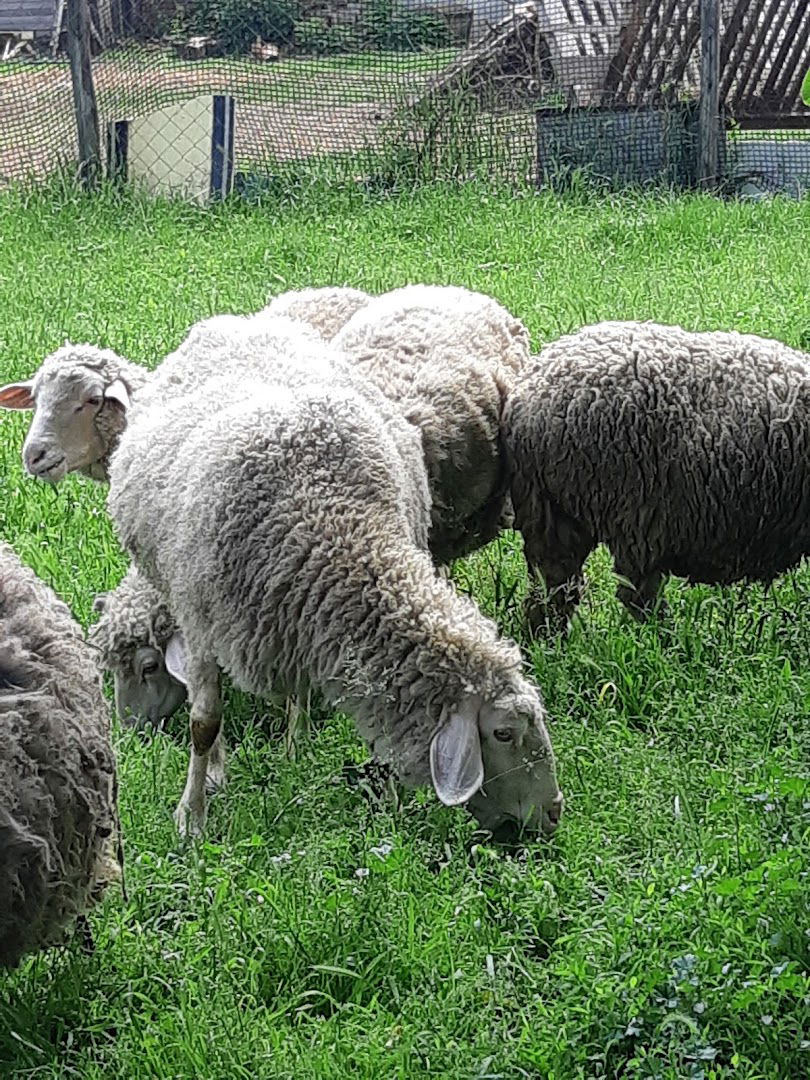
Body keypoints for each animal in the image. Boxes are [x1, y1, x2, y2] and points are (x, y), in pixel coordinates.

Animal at [106, 337, 563, 841]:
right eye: (505, 732)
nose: (555, 812)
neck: (330, 517)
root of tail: (235, 324)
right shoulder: (200, 624)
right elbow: (203, 722)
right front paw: (193, 816)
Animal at [503, 320, 810, 633]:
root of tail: (528, 395)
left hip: (552, 513)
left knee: (553, 587)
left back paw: (543, 639)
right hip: (634, 511)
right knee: (635, 593)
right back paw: (669, 638)